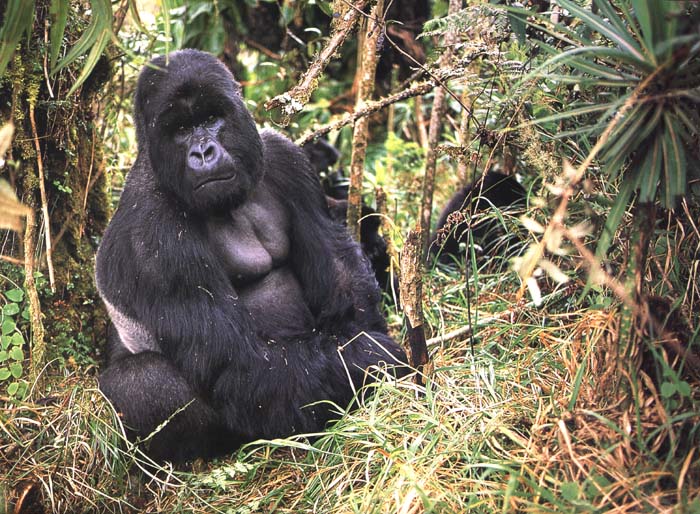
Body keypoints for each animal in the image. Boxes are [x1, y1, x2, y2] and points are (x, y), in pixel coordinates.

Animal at [95, 51, 408, 460]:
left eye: (211, 119)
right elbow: (242, 365)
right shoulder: (153, 237)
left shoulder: (285, 157)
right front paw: (373, 358)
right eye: (180, 129)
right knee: (143, 383)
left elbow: (342, 284)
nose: (203, 152)